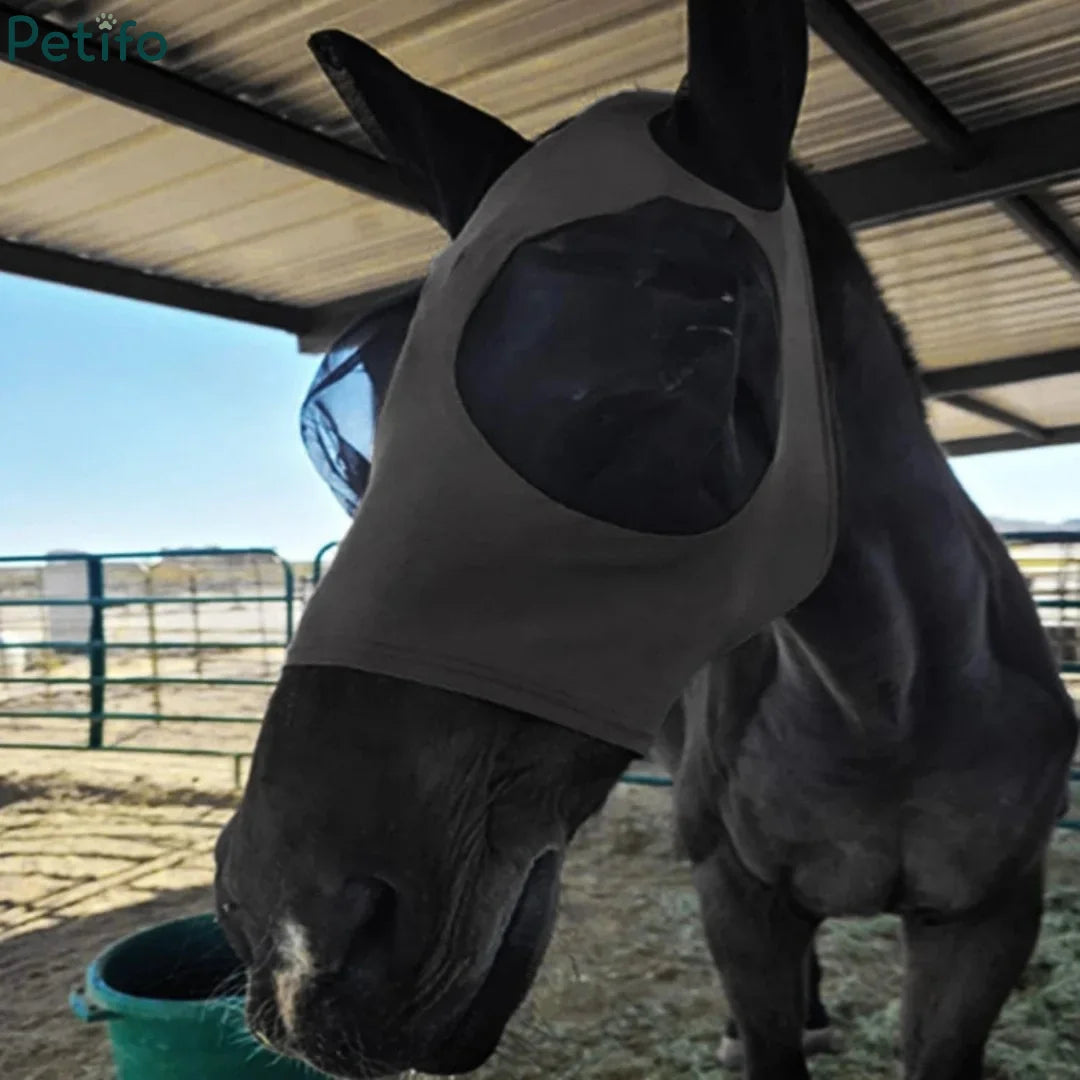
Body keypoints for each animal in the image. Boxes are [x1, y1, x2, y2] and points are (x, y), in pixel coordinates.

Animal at [214, 3, 1078, 1078]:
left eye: (690, 346)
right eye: (360, 444)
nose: (293, 934)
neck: (887, 706)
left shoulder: (986, 925)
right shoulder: (738, 905)